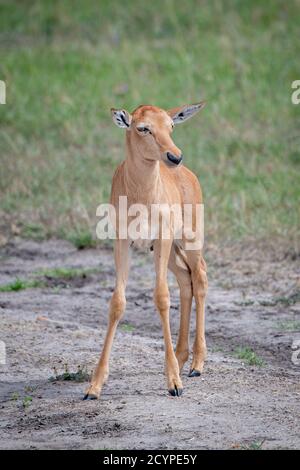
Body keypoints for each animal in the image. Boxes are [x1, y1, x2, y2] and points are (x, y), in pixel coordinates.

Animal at [83, 103, 207, 400]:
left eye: (170, 125)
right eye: (143, 128)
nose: (174, 156)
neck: (141, 192)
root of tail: (188, 174)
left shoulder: (161, 238)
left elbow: (161, 297)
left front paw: (174, 383)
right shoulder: (122, 242)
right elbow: (117, 302)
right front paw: (94, 386)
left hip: (188, 240)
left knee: (200, 277)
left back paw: (196, 365)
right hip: (169, 252)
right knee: (185, 279)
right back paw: (182, 358)